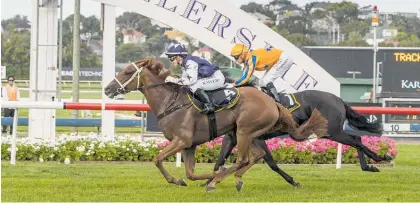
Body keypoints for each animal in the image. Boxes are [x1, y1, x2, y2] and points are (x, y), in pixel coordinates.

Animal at [105, 57, 328, 192]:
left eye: (127, 72)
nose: (107, 89)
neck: (170, 102)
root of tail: (272, 101)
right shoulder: (189, 145)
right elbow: (190, 173)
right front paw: (190, 179)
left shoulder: (182, 140)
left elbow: (157, 159)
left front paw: (197, 178)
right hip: (247, 134)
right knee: (256, 156)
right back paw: (231, 178)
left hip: (245, 130)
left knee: (243, 159)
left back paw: (218, 180)